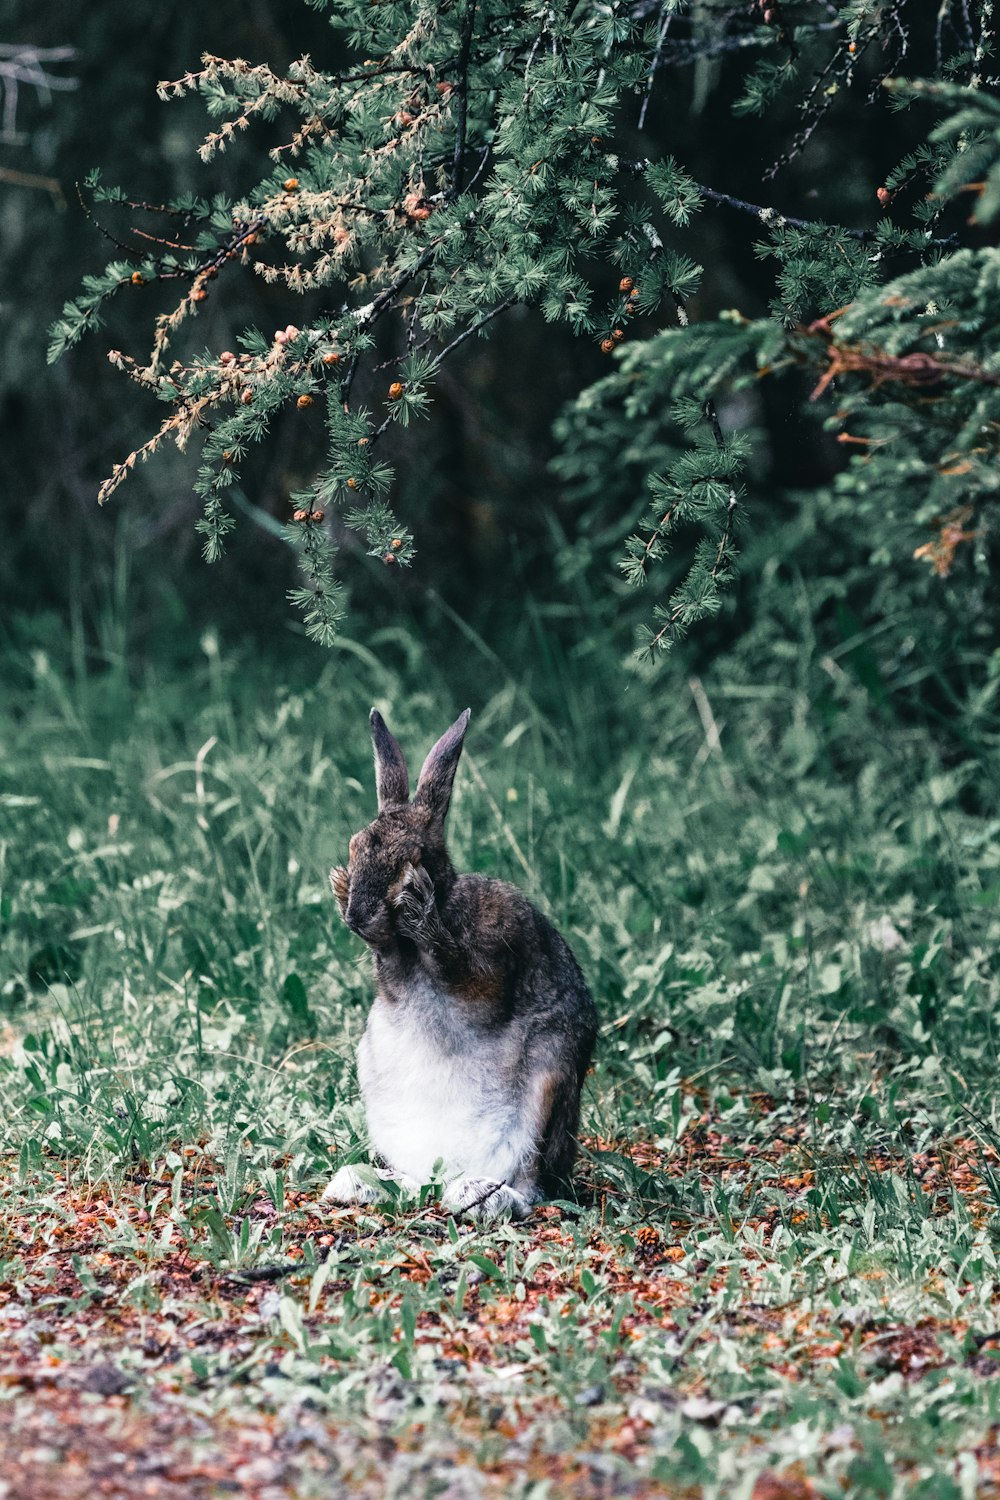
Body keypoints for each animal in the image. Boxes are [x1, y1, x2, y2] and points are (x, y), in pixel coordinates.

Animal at [325, 711, 599, 1218]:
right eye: (355, 847)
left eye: (412, 858)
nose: (355, 914)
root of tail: (447, 1169)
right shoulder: (393, 974)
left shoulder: (496, 954)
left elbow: (462, 972)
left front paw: (420, 912)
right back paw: (362, 1184)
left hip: (549, 1087)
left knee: (531, 1187)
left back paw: (479, 1195)